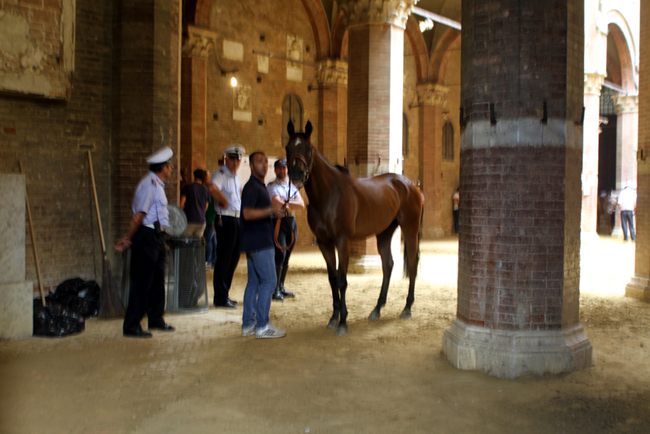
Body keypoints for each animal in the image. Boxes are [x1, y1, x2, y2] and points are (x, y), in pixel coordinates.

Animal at [286, 120, 422, 338]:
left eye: (308, 148)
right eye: (288, 147)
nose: (296, 175)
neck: (329, 194)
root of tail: (412, 186)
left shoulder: (342, 241)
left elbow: (342, 280)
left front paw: (343, 322)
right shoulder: (324, 243)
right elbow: (332, 279)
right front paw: (334, 318)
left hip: (410, 229)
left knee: (411, 265)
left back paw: (407, 308)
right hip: (384, 233)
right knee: (388, 265)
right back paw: (377, 309)